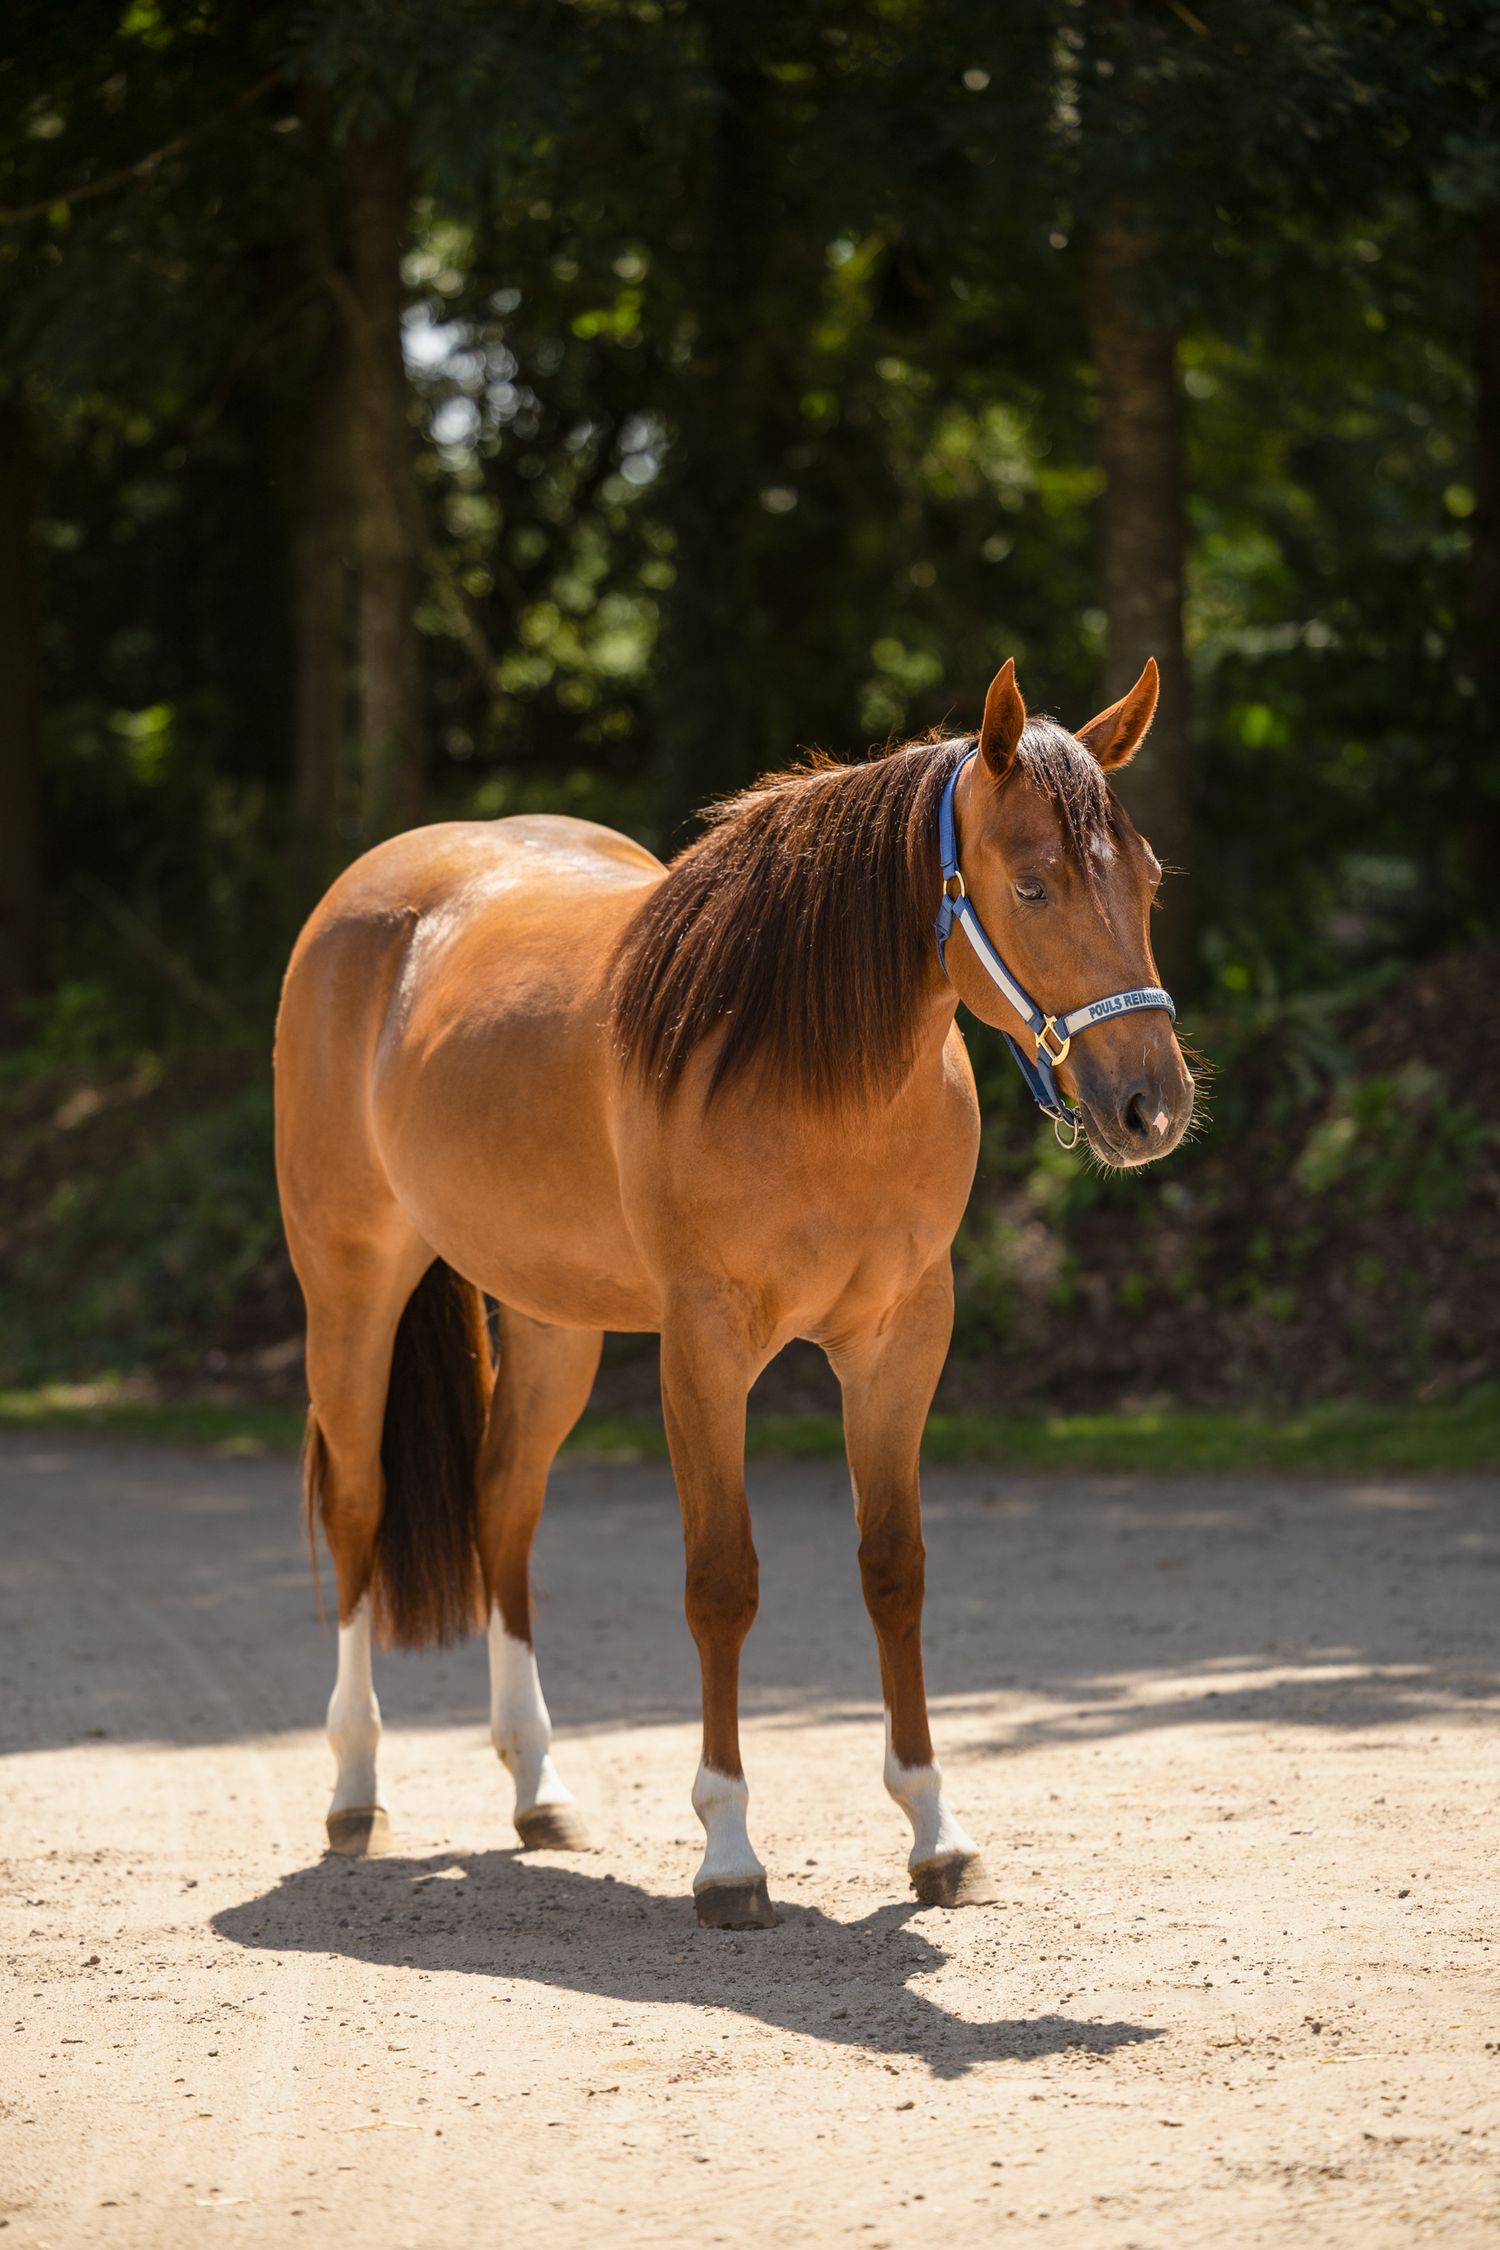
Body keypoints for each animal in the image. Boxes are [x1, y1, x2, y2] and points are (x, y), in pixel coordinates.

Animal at [273, 654, 1195, 1929]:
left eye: (1147, 878)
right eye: (1035, 884)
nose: (1151, 1108)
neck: (815, 1075)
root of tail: (371, 896)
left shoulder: (902, 1339)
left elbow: (894, 1568)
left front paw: (936, 1832)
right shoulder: (704, 1350)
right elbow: (723, 1581)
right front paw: (727, 1853)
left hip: (552, 1321)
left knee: (503, 1504)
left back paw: (538, 1787)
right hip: (351, 1285)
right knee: (359, 1510)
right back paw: (355, 1790)